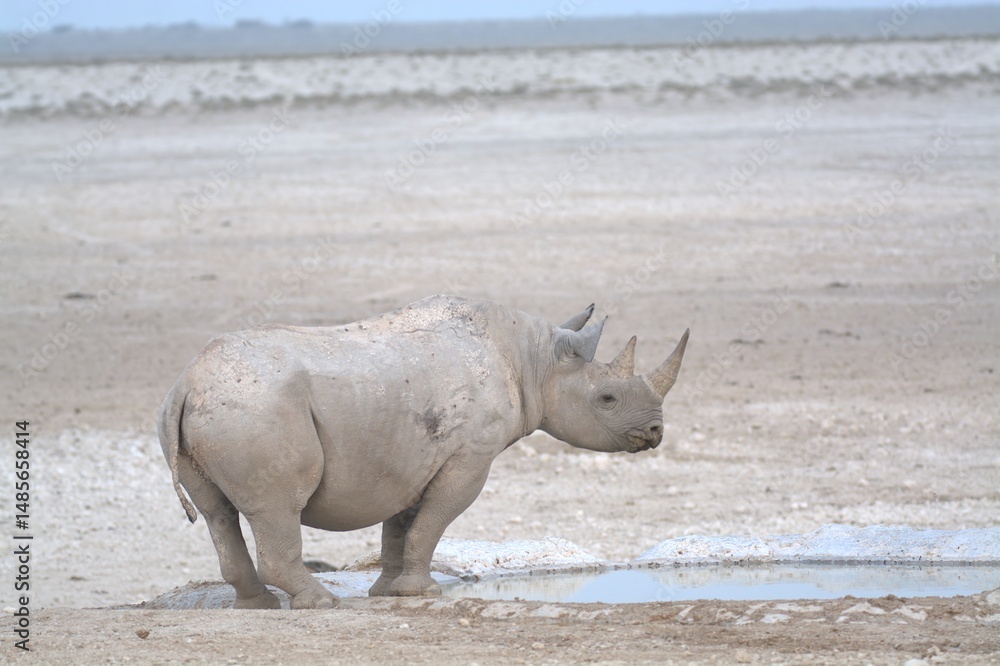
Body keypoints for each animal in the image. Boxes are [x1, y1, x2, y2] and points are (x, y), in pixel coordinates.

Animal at [159, 295, 689, 609]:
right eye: (608, 399)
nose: (655, 432)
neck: (536, 362)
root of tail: (186, 382)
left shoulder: (410, 454)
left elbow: (401, 525)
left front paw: (387, 592)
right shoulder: (470, 458)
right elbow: (434, 521)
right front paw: (422, 591)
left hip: (211, 411)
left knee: (218, 513)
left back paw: (259, 605)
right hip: (256, 410)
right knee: (276, 507)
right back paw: (321, 603)